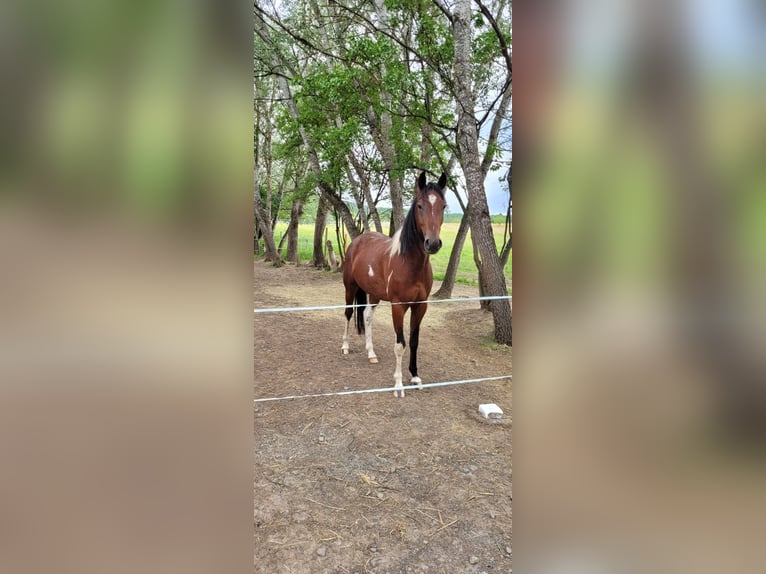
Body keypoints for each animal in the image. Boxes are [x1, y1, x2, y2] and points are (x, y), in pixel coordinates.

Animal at [341, 171, 447, 398]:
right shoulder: (398, 307)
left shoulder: (420, 306)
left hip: (373, 294)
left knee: (367, 315)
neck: (409, 263)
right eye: (420, 206)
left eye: (443, 206)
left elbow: (414, 341)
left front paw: (415, 377)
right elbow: (400, 344)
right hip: (350, 287)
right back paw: (345, 346)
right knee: (347, 313)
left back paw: (371, 353)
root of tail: (357, 241)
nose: (433, 244)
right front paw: (398, 384)